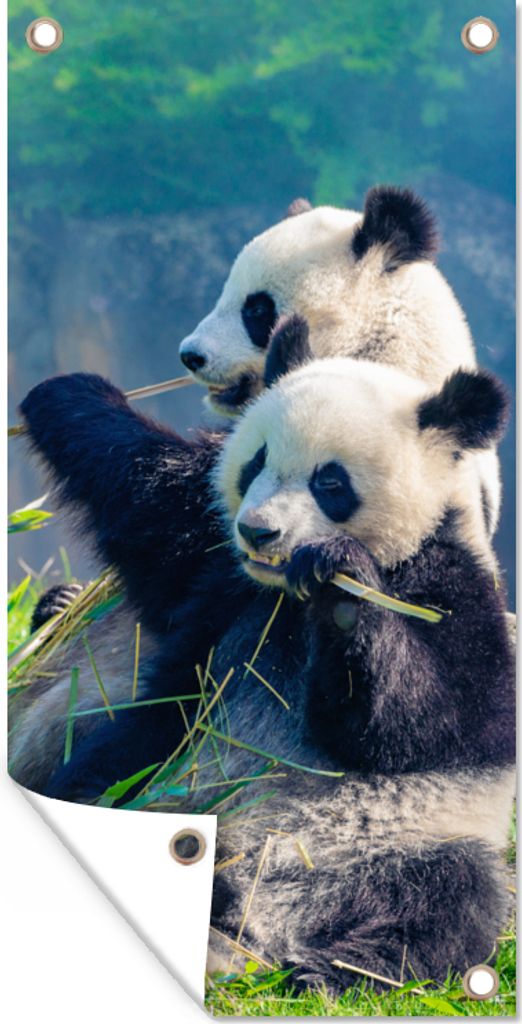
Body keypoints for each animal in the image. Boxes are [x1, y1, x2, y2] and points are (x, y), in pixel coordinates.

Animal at [11, 318, 514, 992]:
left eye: (331, 482)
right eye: (255, 463)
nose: (259, 532)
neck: (286, 600)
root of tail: (256, 910)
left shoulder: (451, 586)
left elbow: (422, 724)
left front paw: (340, 582)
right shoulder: (223, 586)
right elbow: (156, 511)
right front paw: (68, 394)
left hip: (404, 843)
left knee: (451, 901)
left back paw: (330, 970)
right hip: (161, 769)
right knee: (110, 772)